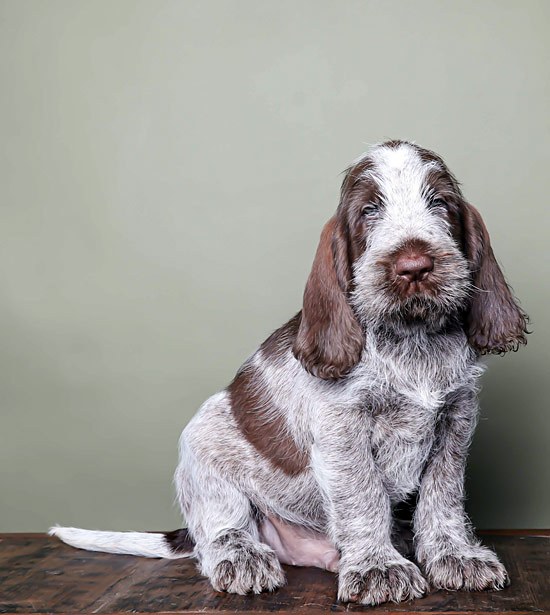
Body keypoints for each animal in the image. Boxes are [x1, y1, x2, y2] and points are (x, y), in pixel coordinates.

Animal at [51, 140, 528, 605]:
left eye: (440, 203)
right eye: (369, 210)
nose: (414, 266)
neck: (412, 338)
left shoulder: (455, 420)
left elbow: (442, 496)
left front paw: (455, 555)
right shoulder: (343, 429)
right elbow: (363, 496)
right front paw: (377, 565)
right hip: (203, 452)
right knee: (217, 534)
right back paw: (242, 557)